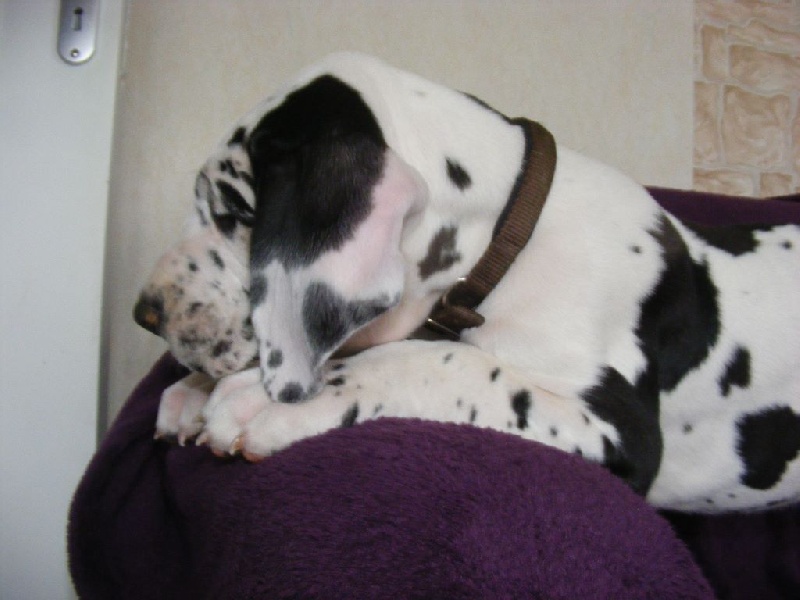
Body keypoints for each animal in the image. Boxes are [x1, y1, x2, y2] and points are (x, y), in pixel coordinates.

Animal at [135, 52, 800, 512]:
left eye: (236, 212)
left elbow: (453, 362)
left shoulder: (624, 430)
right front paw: (193, 389)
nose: (147, 314)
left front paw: (258, 400)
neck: (513, 235)